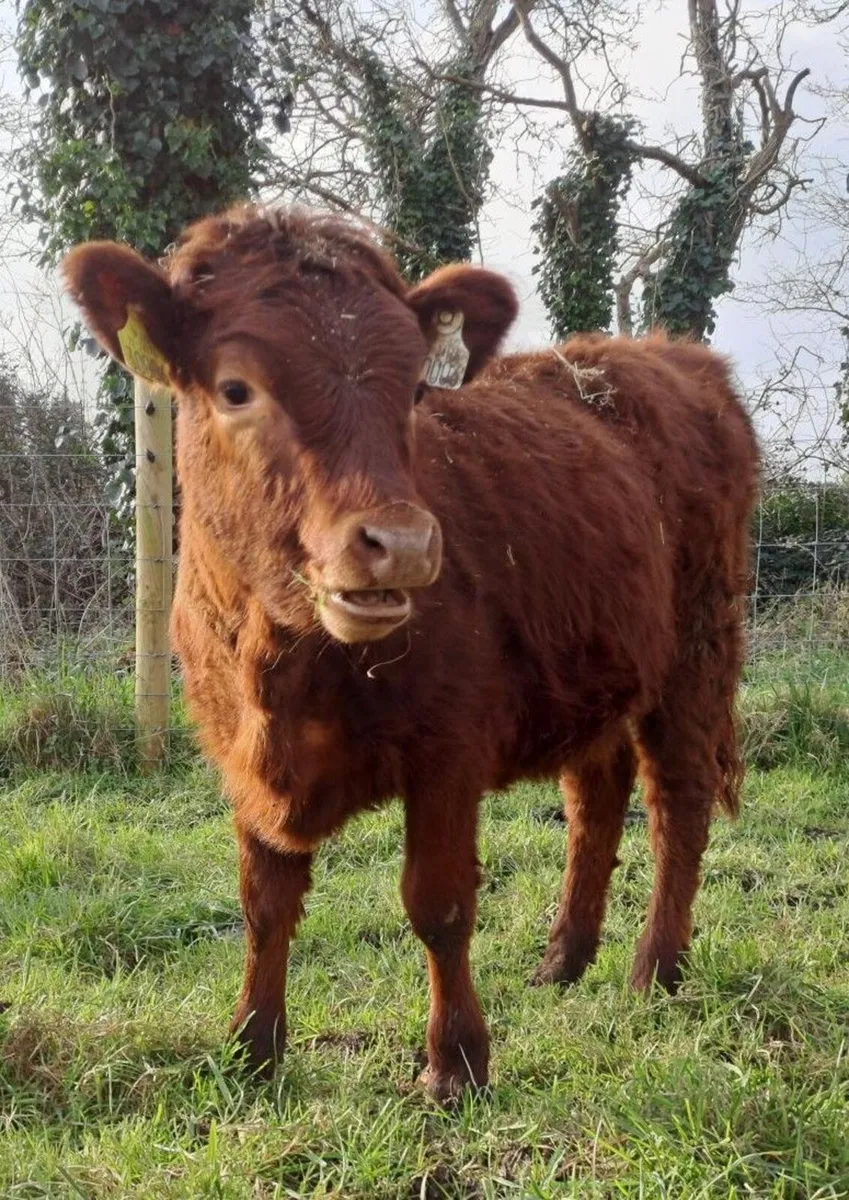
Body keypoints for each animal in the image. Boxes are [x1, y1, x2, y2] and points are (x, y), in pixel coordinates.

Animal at [63, 206, 759, 1101]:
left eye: (415, 390)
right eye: (235, 388)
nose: (399, 543)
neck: (281, 662)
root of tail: (667, 353)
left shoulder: (449, 750)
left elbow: (438, 904)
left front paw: (456, 1063)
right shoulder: (238, 751)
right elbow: (263, 899)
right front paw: (252, 1048)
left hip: (697, 652)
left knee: (677, 803)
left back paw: (655, 971)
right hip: (593, 663)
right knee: (593, 801)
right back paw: (563, 960)